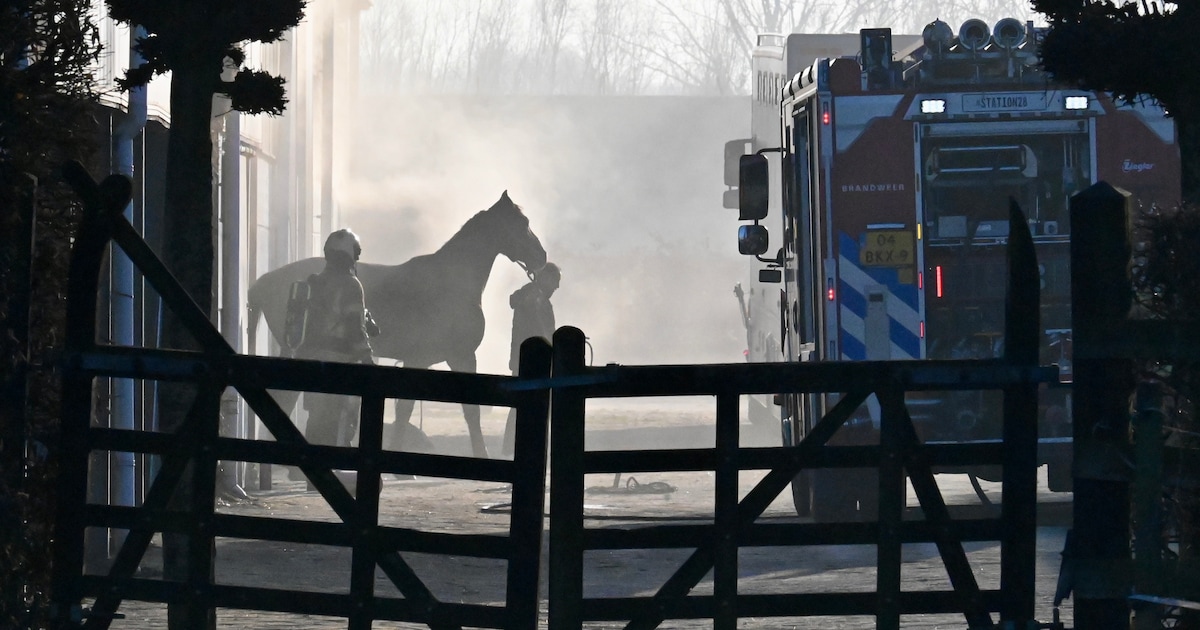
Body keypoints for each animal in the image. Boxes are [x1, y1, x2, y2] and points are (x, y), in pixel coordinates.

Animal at [248, 191, 547, 458]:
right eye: (522, 223)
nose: (541, 257)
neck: (451, 282)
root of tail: (266, 279)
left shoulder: (439, 359)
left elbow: (417, 410)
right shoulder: (452, 357)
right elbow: (448, 410)